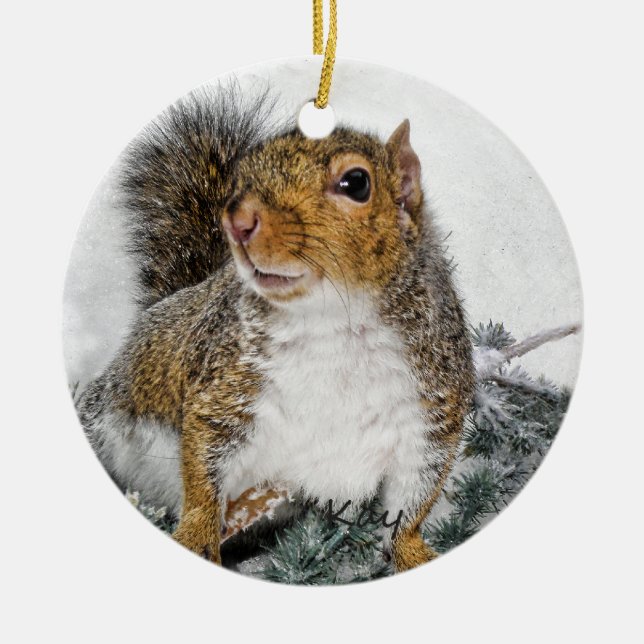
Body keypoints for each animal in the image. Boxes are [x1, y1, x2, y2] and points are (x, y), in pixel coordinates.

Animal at [77, 85, 475, 573]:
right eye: (241, 180)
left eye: (356, 183)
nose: (237, 220)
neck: (335, 321)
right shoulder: (226, 388)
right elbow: (203, 473)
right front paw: (196, 537)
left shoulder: (431, 411)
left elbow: (412, 502)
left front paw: (413, 554)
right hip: (109, 412)